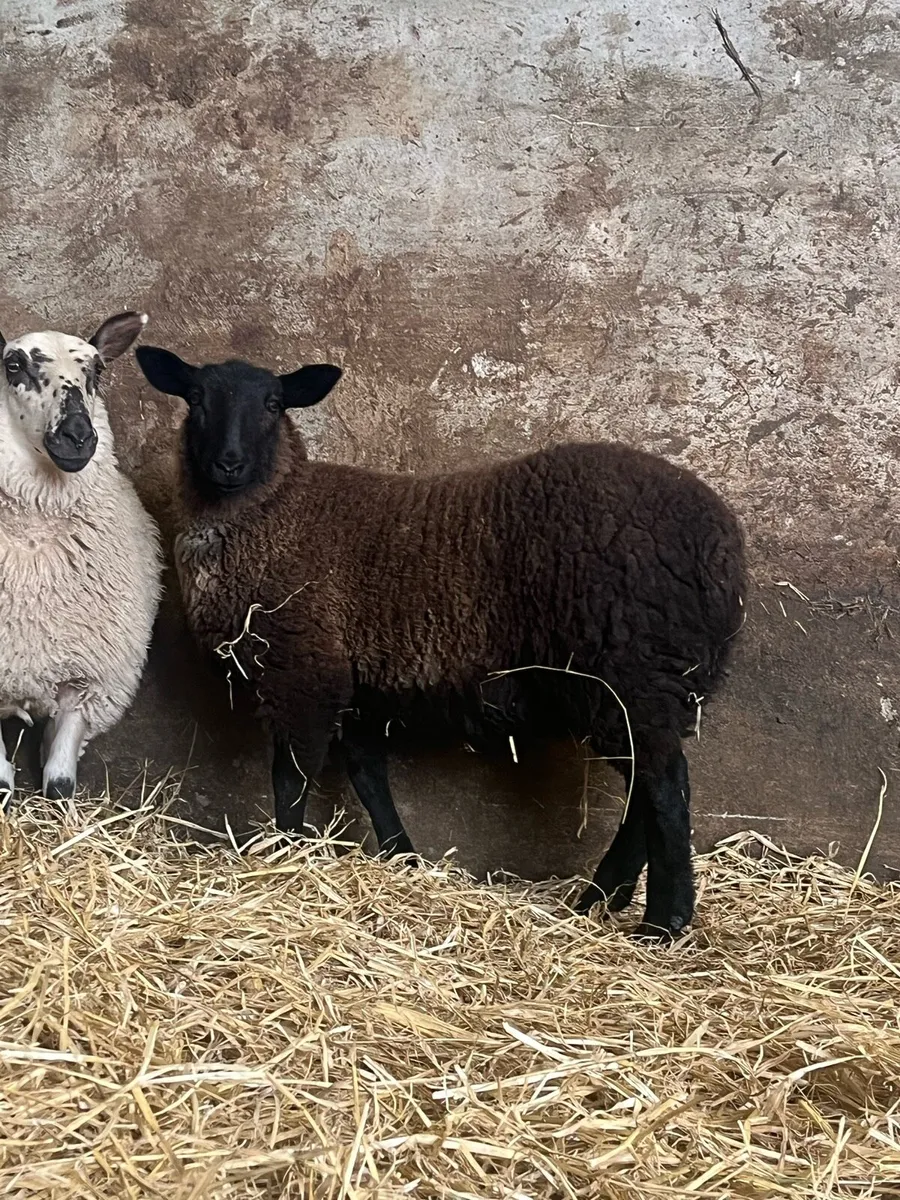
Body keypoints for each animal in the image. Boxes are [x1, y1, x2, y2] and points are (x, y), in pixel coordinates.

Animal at [0, 313, 162, 805]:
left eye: (98, 370)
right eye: (13, 365)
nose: (78, 436)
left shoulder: (91, 679)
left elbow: (59, 784)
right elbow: (2, 783)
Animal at [136, 345, 746, 939]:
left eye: (272, 404)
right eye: (196, 398)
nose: (228, 463)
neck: (281, 512)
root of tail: (722, 547)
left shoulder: (302, 673)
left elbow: (293, 778)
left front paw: (286, 858)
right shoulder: (359, 683)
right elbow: (368, 775)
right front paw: (401, 859)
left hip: (630, 671)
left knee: (665, 784)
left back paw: (662, 921)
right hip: (645, 685)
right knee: (648, 785)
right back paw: (598, 900)